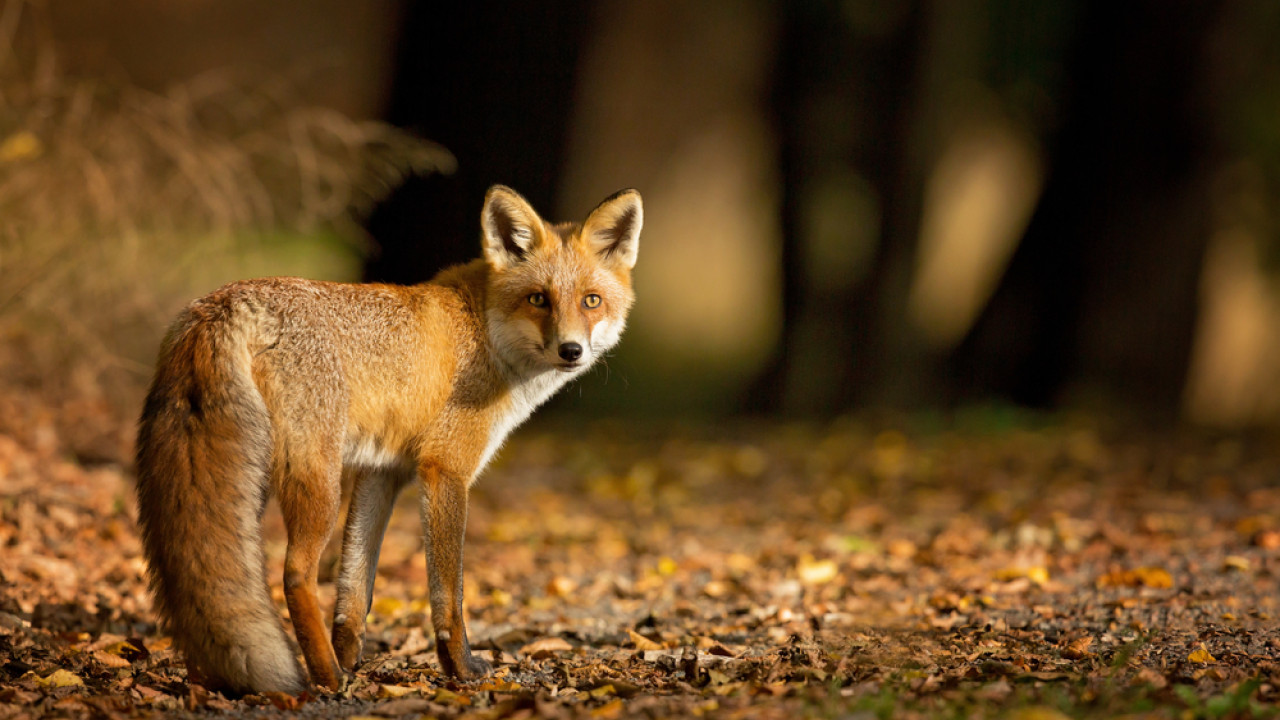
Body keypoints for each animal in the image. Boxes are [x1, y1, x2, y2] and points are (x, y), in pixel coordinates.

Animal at [132, 185, 640, 696]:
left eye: (591, 301)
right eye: (539, 299)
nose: (571, 350)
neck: (483, 331)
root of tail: (223, 303)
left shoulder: (382, 471)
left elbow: (356, 588)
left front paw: (352, 656)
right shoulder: (444, 468)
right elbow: (448, 593)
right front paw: (459, 668)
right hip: (316, 481)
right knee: (295, 575)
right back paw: (326, 677)